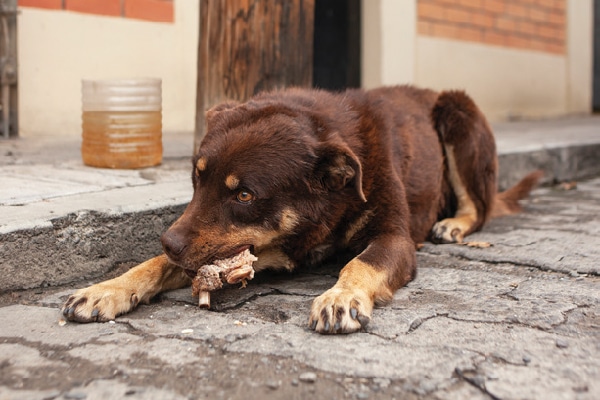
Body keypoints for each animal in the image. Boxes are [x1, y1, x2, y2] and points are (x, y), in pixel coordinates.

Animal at [63, 86, 540, 332]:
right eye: (197, 179)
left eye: (244, 196)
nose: (169, 241)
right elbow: (152, 265)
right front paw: (107, 289)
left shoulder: (395, 239)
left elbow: (361, 263)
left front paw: (341, 296)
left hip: (459, 114)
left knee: (480, 207)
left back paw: (454, 224)